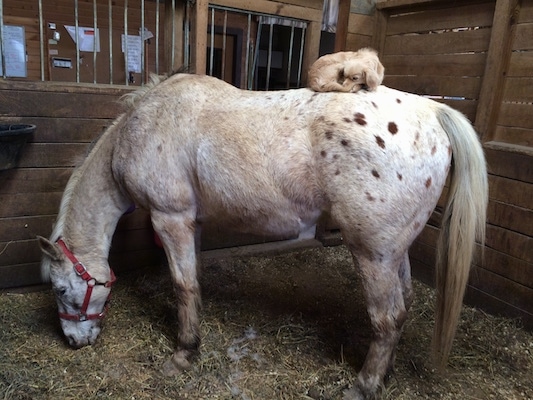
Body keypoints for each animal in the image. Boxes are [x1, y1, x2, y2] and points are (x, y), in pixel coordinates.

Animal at [37, 72, 486, 400]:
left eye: (59, 289)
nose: (74, 341)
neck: (142, 127)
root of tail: (431, 110)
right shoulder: (192, 223)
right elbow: (194, 281)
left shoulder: (171, 218)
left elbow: (183, 284)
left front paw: (183, 353)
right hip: (395, 251)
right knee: (404, 304)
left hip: (373, 253)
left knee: (388, 317)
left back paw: (364, 385)